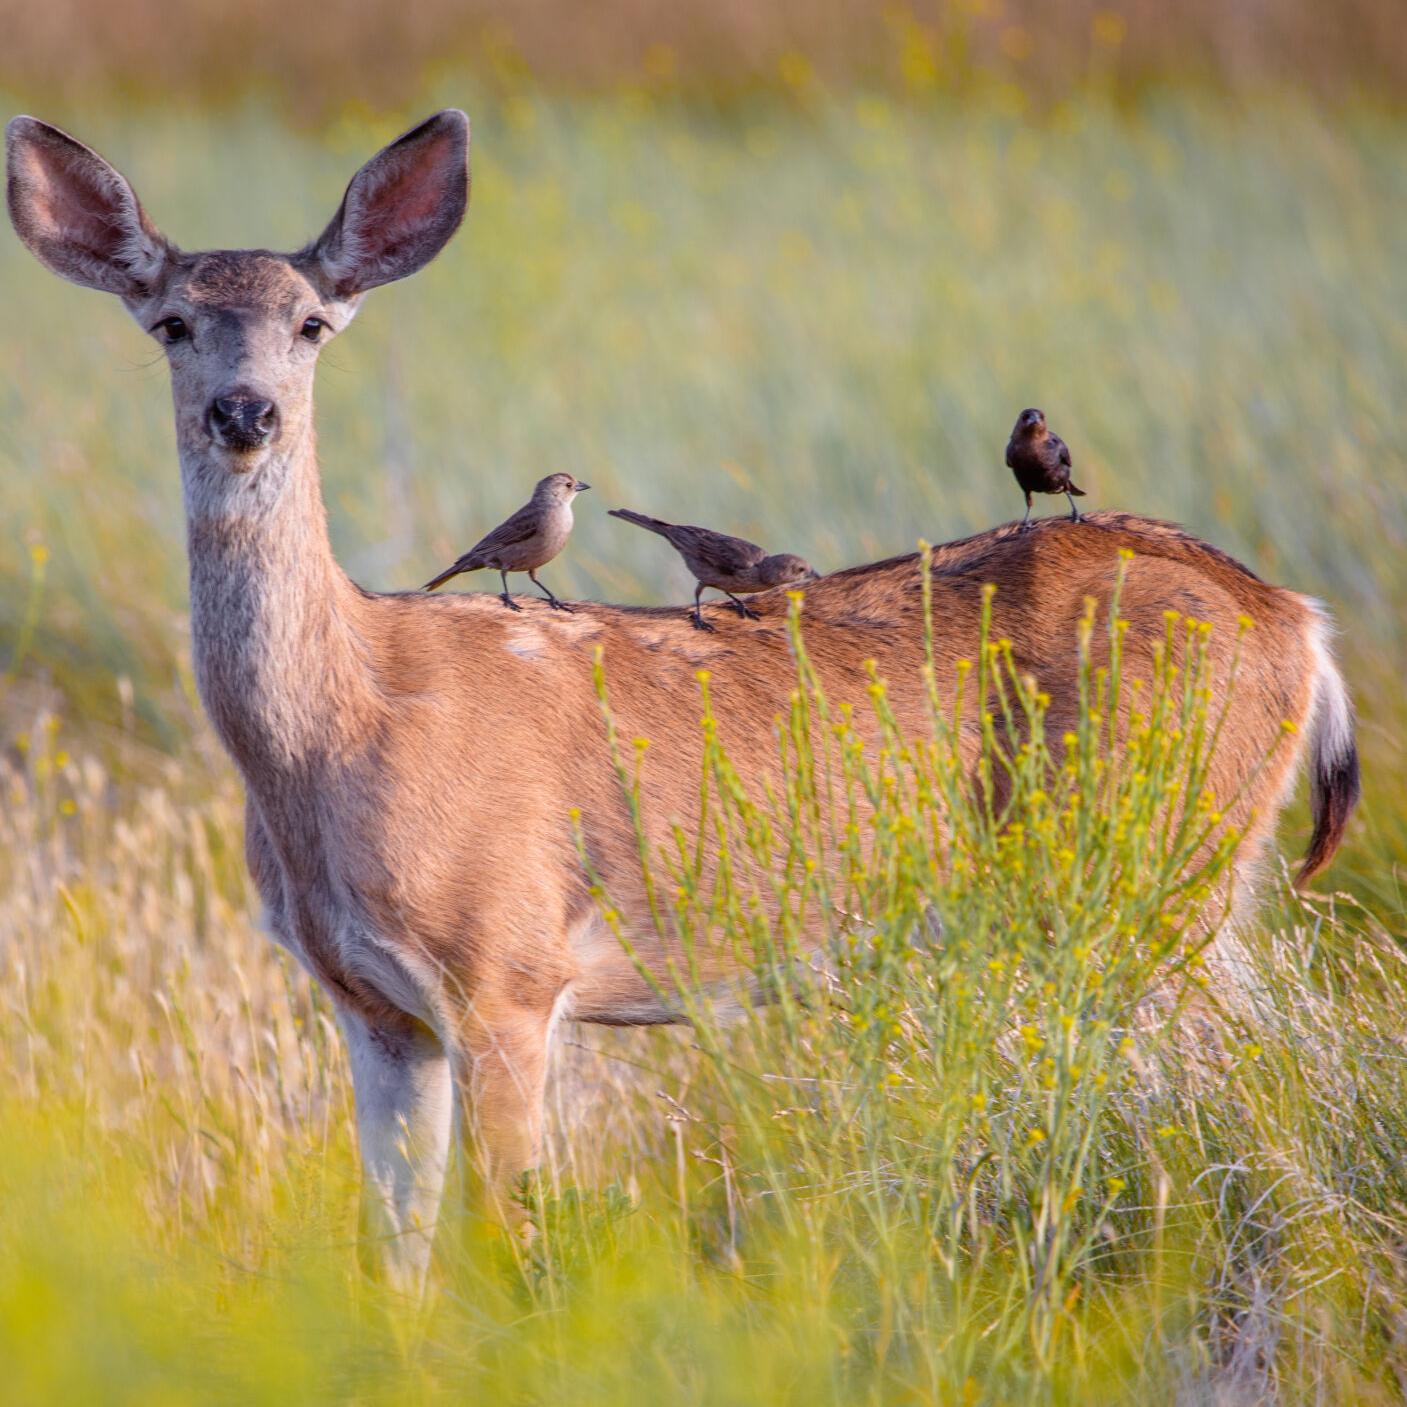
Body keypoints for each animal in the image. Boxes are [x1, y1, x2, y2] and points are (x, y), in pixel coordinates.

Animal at [5, 110, 1359, 1298]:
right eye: (172, 322)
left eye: (314, 323)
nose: (247, 412)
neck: (341, 731)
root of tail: (1300, 621)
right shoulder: (373, 1007)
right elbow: (392, 1262)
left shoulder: (507, 966)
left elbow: (502, 1243)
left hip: (1167, 869)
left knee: (1268, 1084)